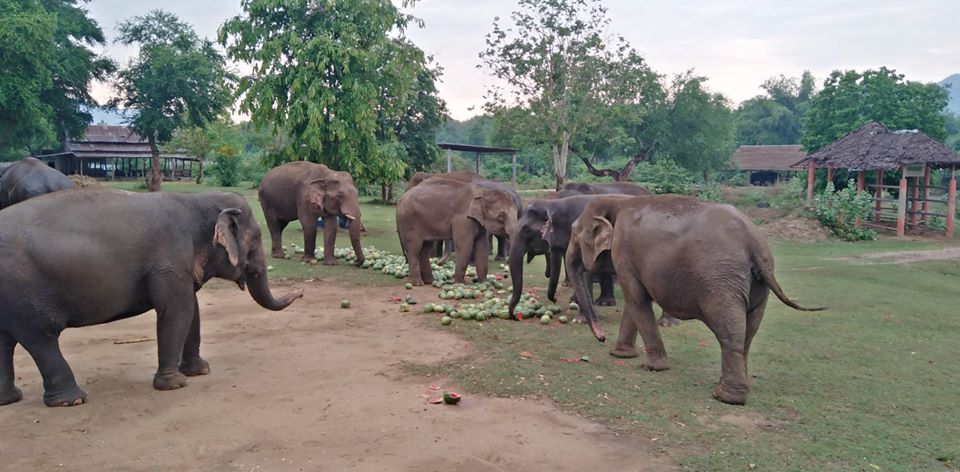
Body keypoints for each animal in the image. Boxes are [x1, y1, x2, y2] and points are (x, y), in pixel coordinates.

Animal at [0, 189, 303, 407]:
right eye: (255, 239)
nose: (300, 292)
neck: (196, 200)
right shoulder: (169, 259)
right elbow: (177, 309)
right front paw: (175, 384)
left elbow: (191, 309)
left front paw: (199, 371)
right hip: (24, 291)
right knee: (40, 336)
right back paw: (71, 400)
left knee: (5, 340)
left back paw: (10, 399)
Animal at [566, 195, 824, 405]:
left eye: (575, 232)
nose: (601, 339)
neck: (617, 200)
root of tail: (755, 243)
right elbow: (636, 301)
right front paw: (621, 355)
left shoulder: (624, 250)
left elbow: (636, 299)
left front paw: (651, 367)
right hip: (759, 285)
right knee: (749, 331)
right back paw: (737, 387)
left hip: (721, 281)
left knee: (729, 330)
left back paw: (726, 397)